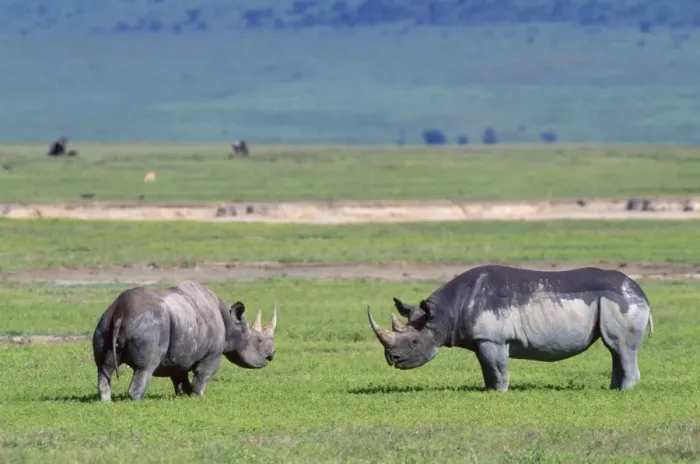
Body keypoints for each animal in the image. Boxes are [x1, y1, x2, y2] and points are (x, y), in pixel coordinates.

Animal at [92, 280, 277, 401]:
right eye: (258, 340)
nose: (272, 354)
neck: (231, 322)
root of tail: (120, 312)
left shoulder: (180, 353)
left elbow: (179, 377)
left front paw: (183, 396)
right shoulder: (213, 353)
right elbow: (203, 374)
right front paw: (197, 396)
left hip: (105, 323)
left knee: (104, 367)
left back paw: (106, 401)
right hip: (149, 325)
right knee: (145, 368)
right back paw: (138, 400)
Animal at [368, 265, 654, 391]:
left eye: (414, 342)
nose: (391, 358)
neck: (444, 314)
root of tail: (643, 293)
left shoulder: (493, 340)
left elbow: (497, 368)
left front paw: (499, 393)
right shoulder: (481, 341)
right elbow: (487, 369)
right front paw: (488, 391)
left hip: (622, 301)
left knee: (621, 347)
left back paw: (623, 392)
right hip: (615, 301)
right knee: (615, 350)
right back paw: (613, 390)